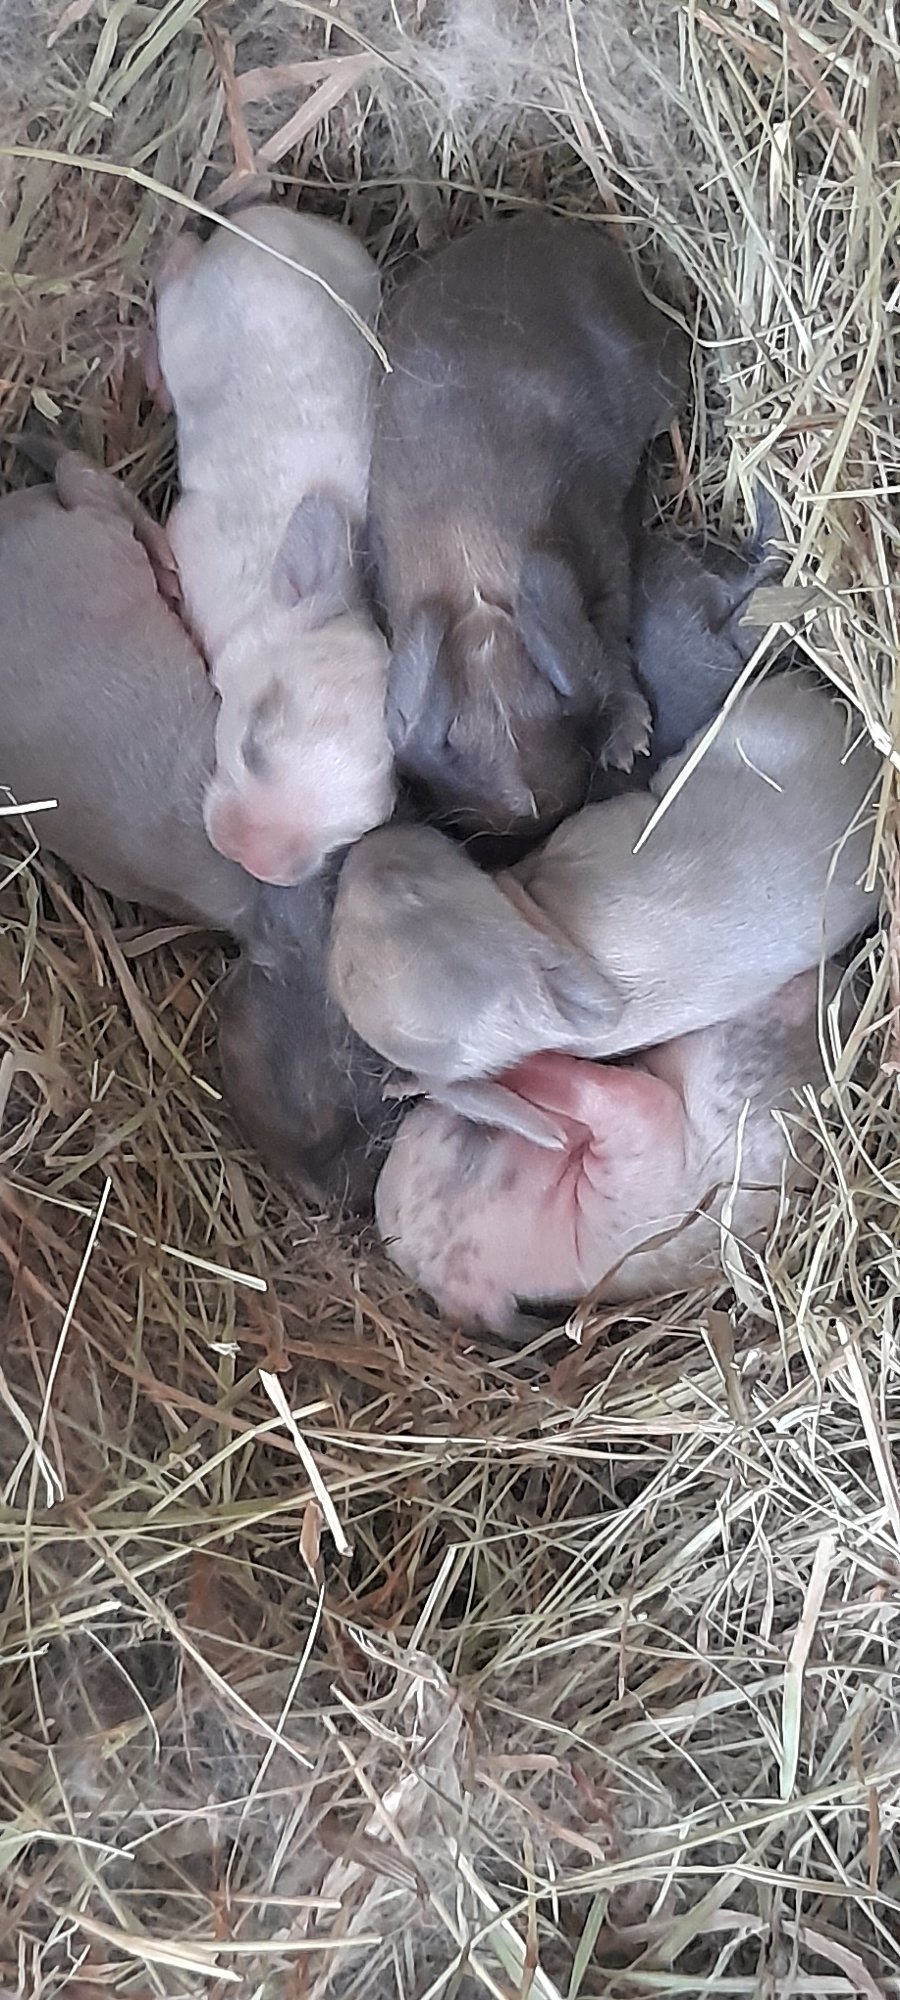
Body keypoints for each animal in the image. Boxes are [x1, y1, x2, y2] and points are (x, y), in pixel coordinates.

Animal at [152, 202, 395, 887]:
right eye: (252, 745)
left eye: (363, 827)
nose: (253, 861)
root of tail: (268, 219)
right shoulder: (198, 537)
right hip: (189, 313)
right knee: (177, 266)